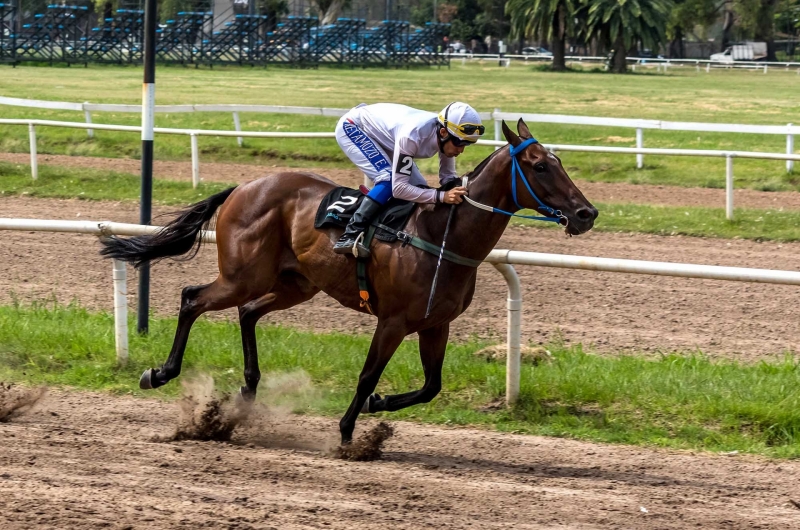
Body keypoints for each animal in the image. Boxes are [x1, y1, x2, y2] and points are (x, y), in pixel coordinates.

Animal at [100, 118, 592, 442]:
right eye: (540, 166)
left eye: (560, 161)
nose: (587, 213)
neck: (439, 234)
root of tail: (244, 186)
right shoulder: (392, 321)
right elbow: (368, 375)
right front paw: (348, 431)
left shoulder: (436, 323)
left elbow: (431, 386)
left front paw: (377, 408)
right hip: (243, 274)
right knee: (193, 298)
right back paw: (160, 373)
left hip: (295, 284)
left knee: (248, 312)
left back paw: (247, 391)